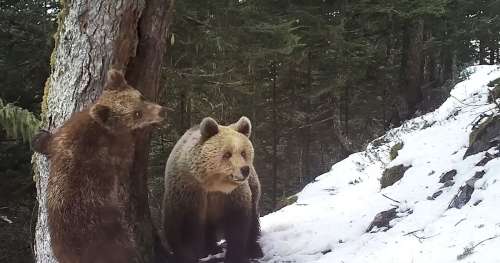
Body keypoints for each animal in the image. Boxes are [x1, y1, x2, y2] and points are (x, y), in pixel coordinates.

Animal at [32, 68, 166, 263]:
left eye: (141, 96)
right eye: (136, 114)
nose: (161, 112)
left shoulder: (65, 136)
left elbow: (49, 142)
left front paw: (38, 139)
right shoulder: (117, 149)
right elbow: (126, 164)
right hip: (110, 236)